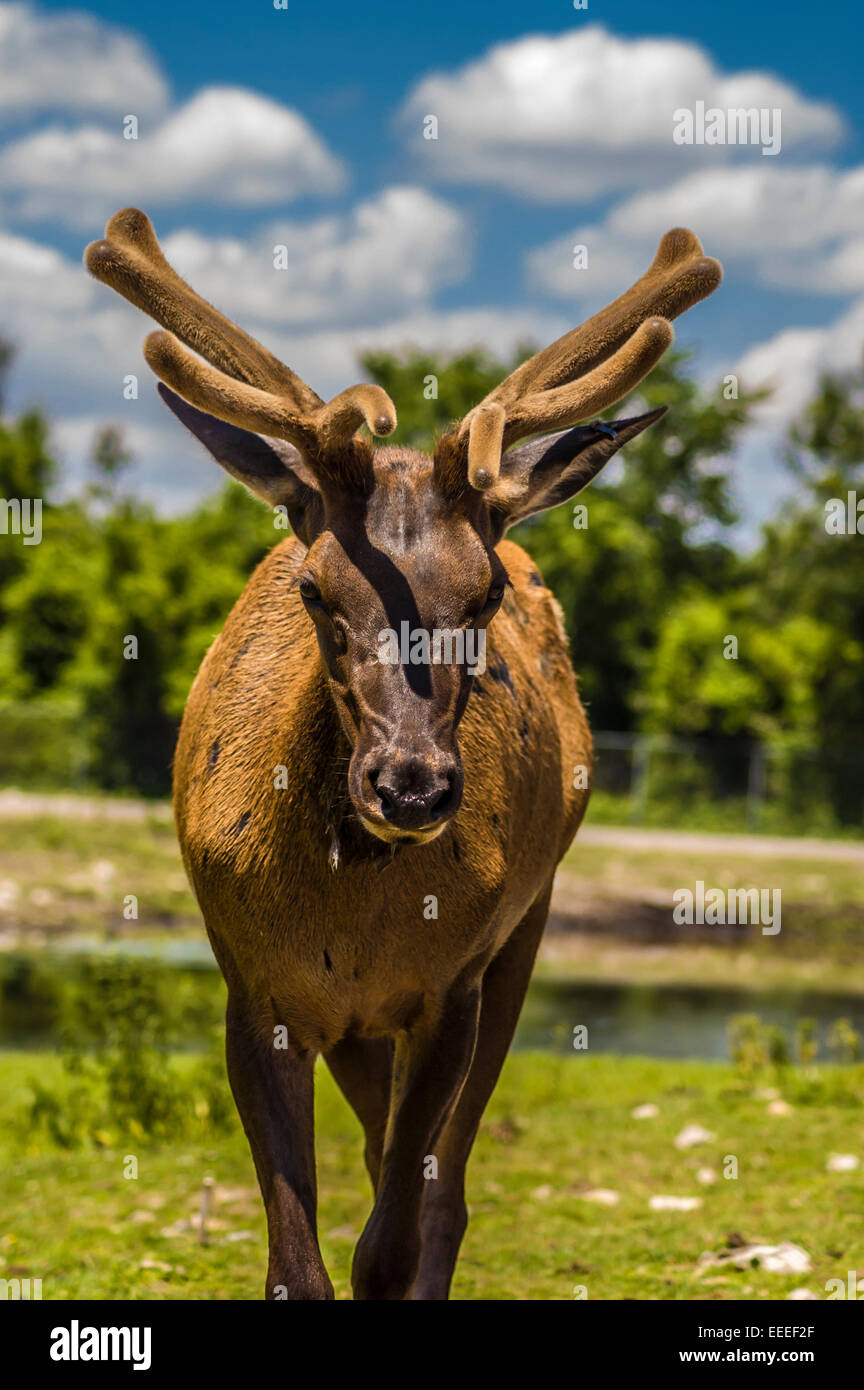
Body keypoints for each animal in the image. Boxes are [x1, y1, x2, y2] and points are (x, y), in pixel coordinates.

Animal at [84, 211, 722, 1295]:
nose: (412, 787)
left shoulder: (450, 987)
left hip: (524, 931)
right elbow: (298, 1264)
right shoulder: (253, 989)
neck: (349, 917)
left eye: (485, 592)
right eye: (312, 589)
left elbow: (391, 1243)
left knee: (444, 1195)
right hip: (359, 1027)